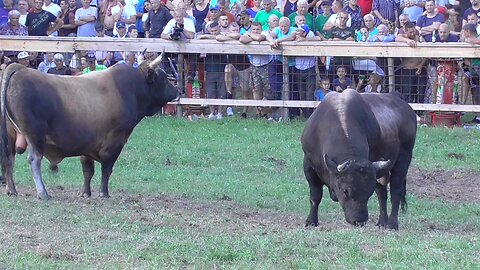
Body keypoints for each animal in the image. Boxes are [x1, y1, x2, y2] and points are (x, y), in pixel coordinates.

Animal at [0, 54, 178, 199]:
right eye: (163, 78)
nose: (175, 91)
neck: (131, 90)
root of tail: (19, 69)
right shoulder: (114, 143)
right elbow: (106, 170)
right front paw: (104, 193)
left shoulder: (86, 145)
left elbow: (87, 171)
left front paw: (85, 193)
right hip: (35, 136)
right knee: (34, 160)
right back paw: (43, 193)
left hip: (10, 135)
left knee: (8, 158)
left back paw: (12, 190)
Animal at [304, 89, 416, 229]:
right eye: (346, 191)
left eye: (368, 192)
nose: (359, 221)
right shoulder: (308, 165)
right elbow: (315, 196)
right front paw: (311, 221)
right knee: (382, 192)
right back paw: (382, 221)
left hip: (404, 158)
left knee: (396, 190)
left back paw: (392, 223)